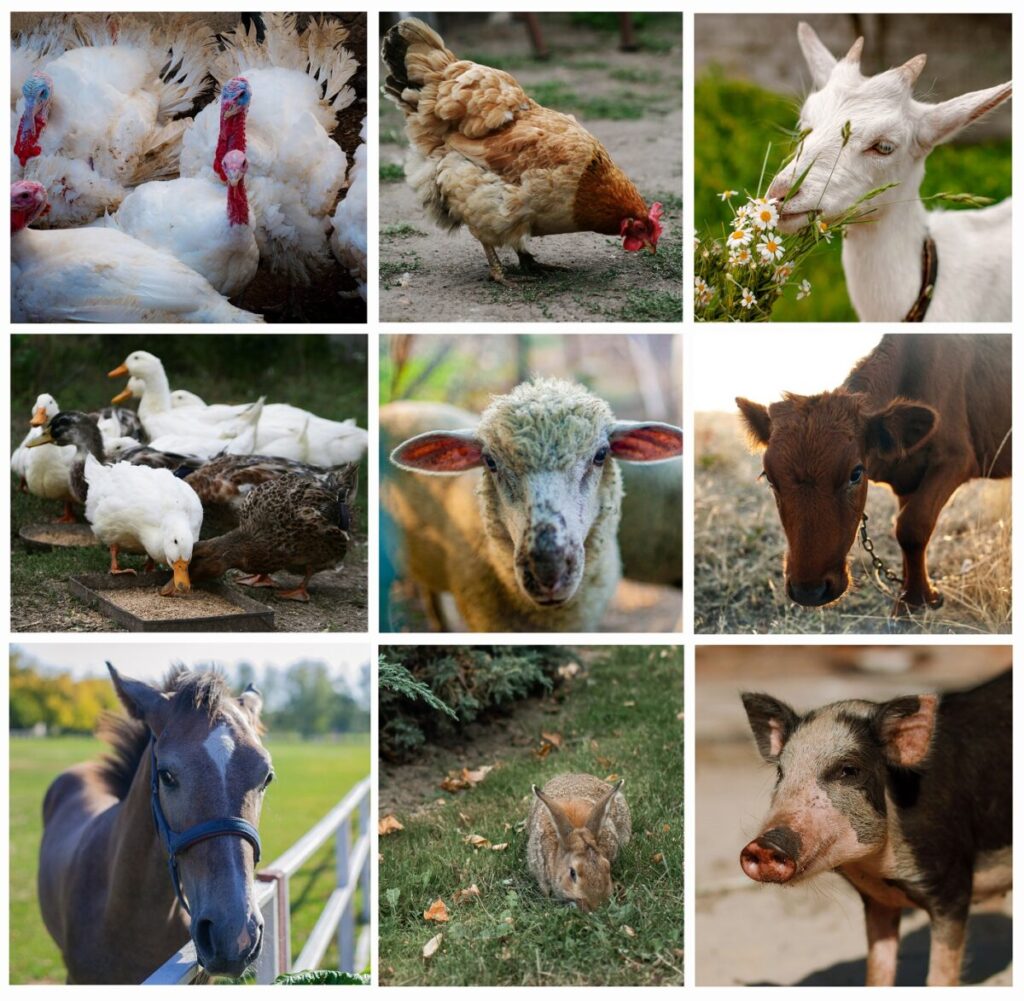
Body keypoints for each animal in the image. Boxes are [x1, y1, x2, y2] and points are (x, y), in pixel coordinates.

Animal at [737, 337, 1007, 610]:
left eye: (856, 473)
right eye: (770, 478)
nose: (809, 592)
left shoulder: (957, 459)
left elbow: (912, 525)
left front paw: (916, 599)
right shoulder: (906, 481)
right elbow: (902, 529)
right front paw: (909, 594)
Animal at [741, 667, 1011, 986]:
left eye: (848, 770)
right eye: (781, 773)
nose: (765, 844)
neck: (879, 868)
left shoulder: (952, 886)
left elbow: (940, 974)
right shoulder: (878, 899)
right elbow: (878, 967)